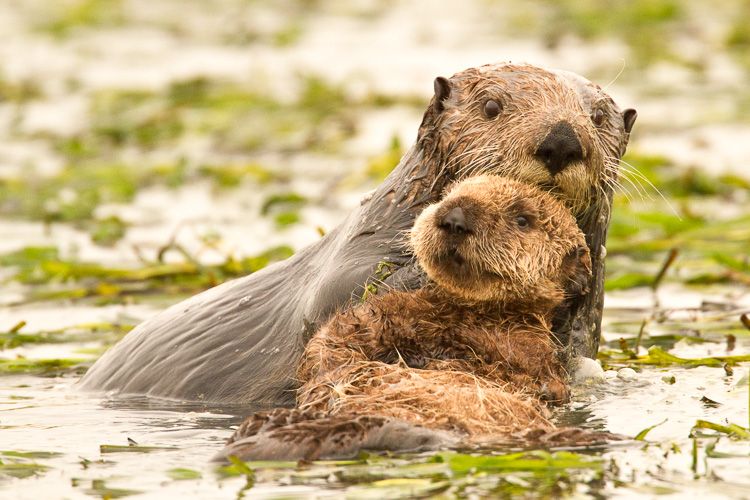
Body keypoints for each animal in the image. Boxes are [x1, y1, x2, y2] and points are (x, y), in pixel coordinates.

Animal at [215, 175, 601, 461]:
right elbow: (336, 341)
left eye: (523, 219)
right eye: (451, 194)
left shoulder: (525, 349)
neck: (470, 316)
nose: (455, 217)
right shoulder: (385, 313)